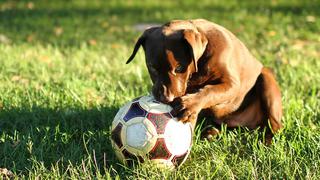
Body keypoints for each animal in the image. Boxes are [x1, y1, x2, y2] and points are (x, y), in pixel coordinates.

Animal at [126, 19, 282, 144]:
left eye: (179, 67)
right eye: (152, 67)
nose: (166, 99)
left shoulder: (232, 85)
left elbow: (211, 91)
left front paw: (190, 104)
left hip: (266, 82)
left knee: (275, 125)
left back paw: (268, 141)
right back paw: (211, 133)